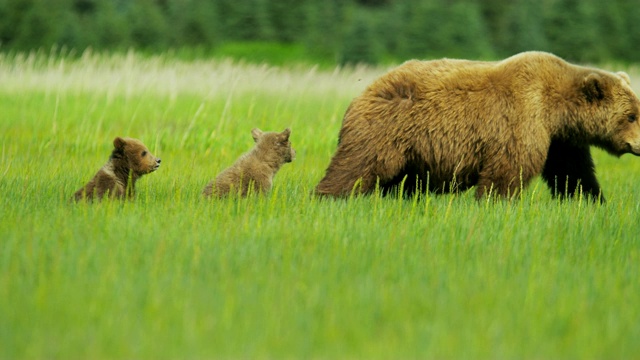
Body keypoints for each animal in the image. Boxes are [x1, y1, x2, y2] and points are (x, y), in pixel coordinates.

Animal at [316, 51, 640, 201]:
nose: (639, 144)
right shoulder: (522, 118)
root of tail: (362, 92)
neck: (557, 111)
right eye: (631, 116)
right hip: (386, 131)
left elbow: (573, 173)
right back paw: (328, 197)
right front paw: (493, 203)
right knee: (356, 166)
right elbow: (508, 171)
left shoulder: (561, 141)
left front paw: (592, 201)